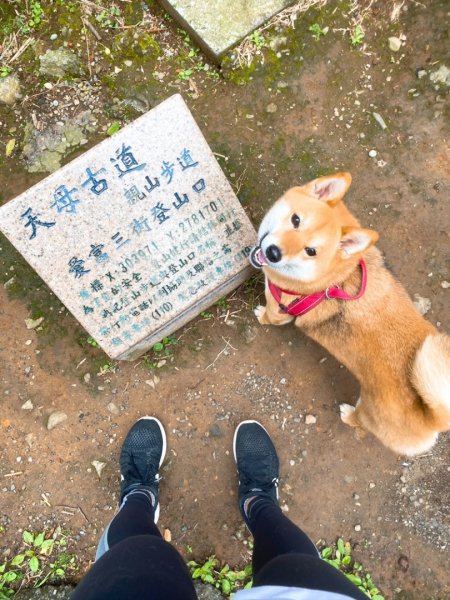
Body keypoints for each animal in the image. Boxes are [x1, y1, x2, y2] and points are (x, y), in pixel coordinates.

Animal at [250, 172, 450, 454]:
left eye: (310, 251)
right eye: (295, 220)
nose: (273, 253)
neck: (329, 279)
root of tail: (434, 420)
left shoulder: (280, 311)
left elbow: (269, 315)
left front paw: (260, 315)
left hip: (369, 413)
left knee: (360, 420)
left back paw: (348, 414)